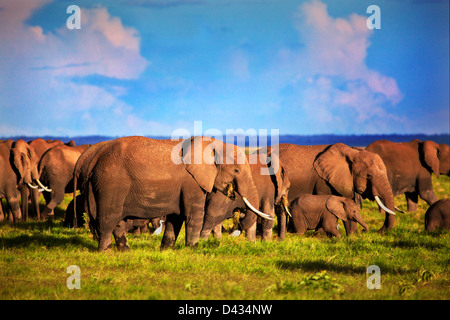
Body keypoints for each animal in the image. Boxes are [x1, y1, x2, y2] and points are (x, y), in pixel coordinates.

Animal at [74, 136, 270, 251]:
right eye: (236, 170)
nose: (238, 213)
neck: (214, 145)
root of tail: (92, 161)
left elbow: (176, 218)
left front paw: (166, 251)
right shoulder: (192, 182)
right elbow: (193, 215)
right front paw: (193, 251)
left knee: (117, 222)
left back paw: (125, 252)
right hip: (111, 184)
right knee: (109, 218)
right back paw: (105, 252)